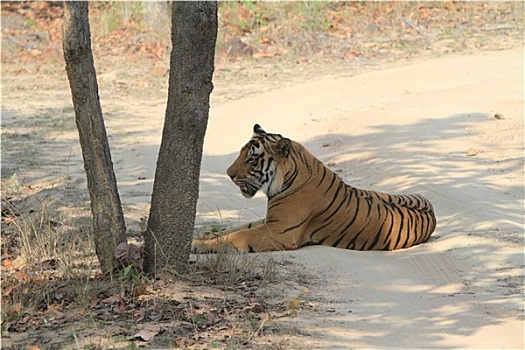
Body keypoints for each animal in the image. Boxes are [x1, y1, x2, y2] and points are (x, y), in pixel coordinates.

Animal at [190, 124, 436, 253]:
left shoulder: (280, 231)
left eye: (251, 159)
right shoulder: (271, 221)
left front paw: (196, 245)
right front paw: (199, 235)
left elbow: (237, 235)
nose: (228, 173)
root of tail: (432, 208)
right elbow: (234, 227)